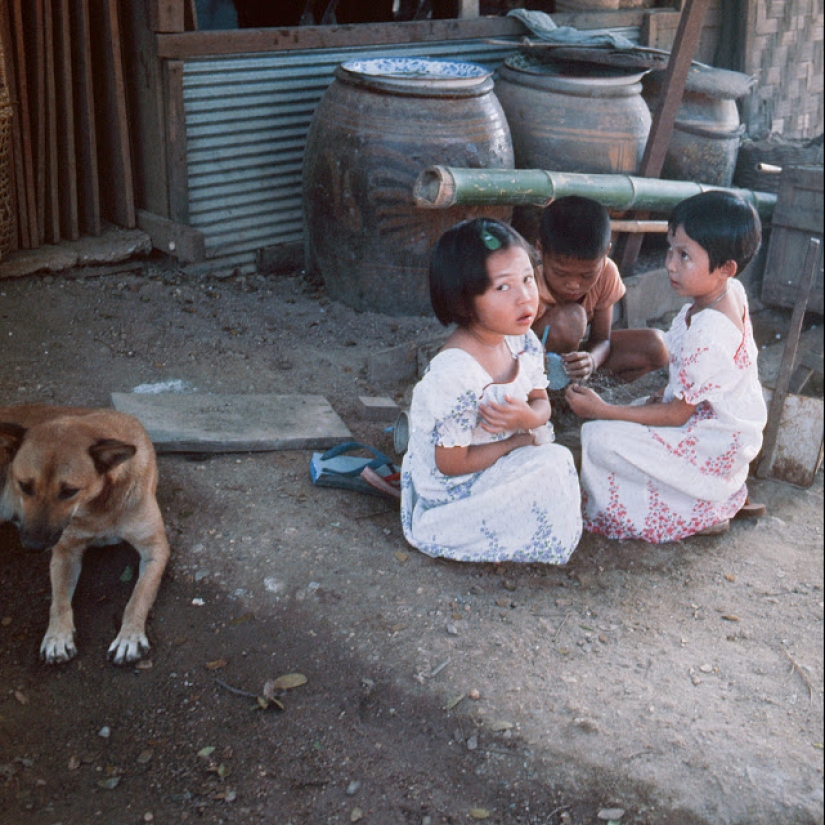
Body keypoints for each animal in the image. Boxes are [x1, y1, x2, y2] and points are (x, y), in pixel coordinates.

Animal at [0, 406, 171, 664]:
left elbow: (138, 597)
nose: (32, 545)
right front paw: (57, 636)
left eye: (69, 491)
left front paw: (129, 636)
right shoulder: (65, 553)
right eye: (24, 485)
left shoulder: (155, 548)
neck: (96, 507)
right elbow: (59, 600)